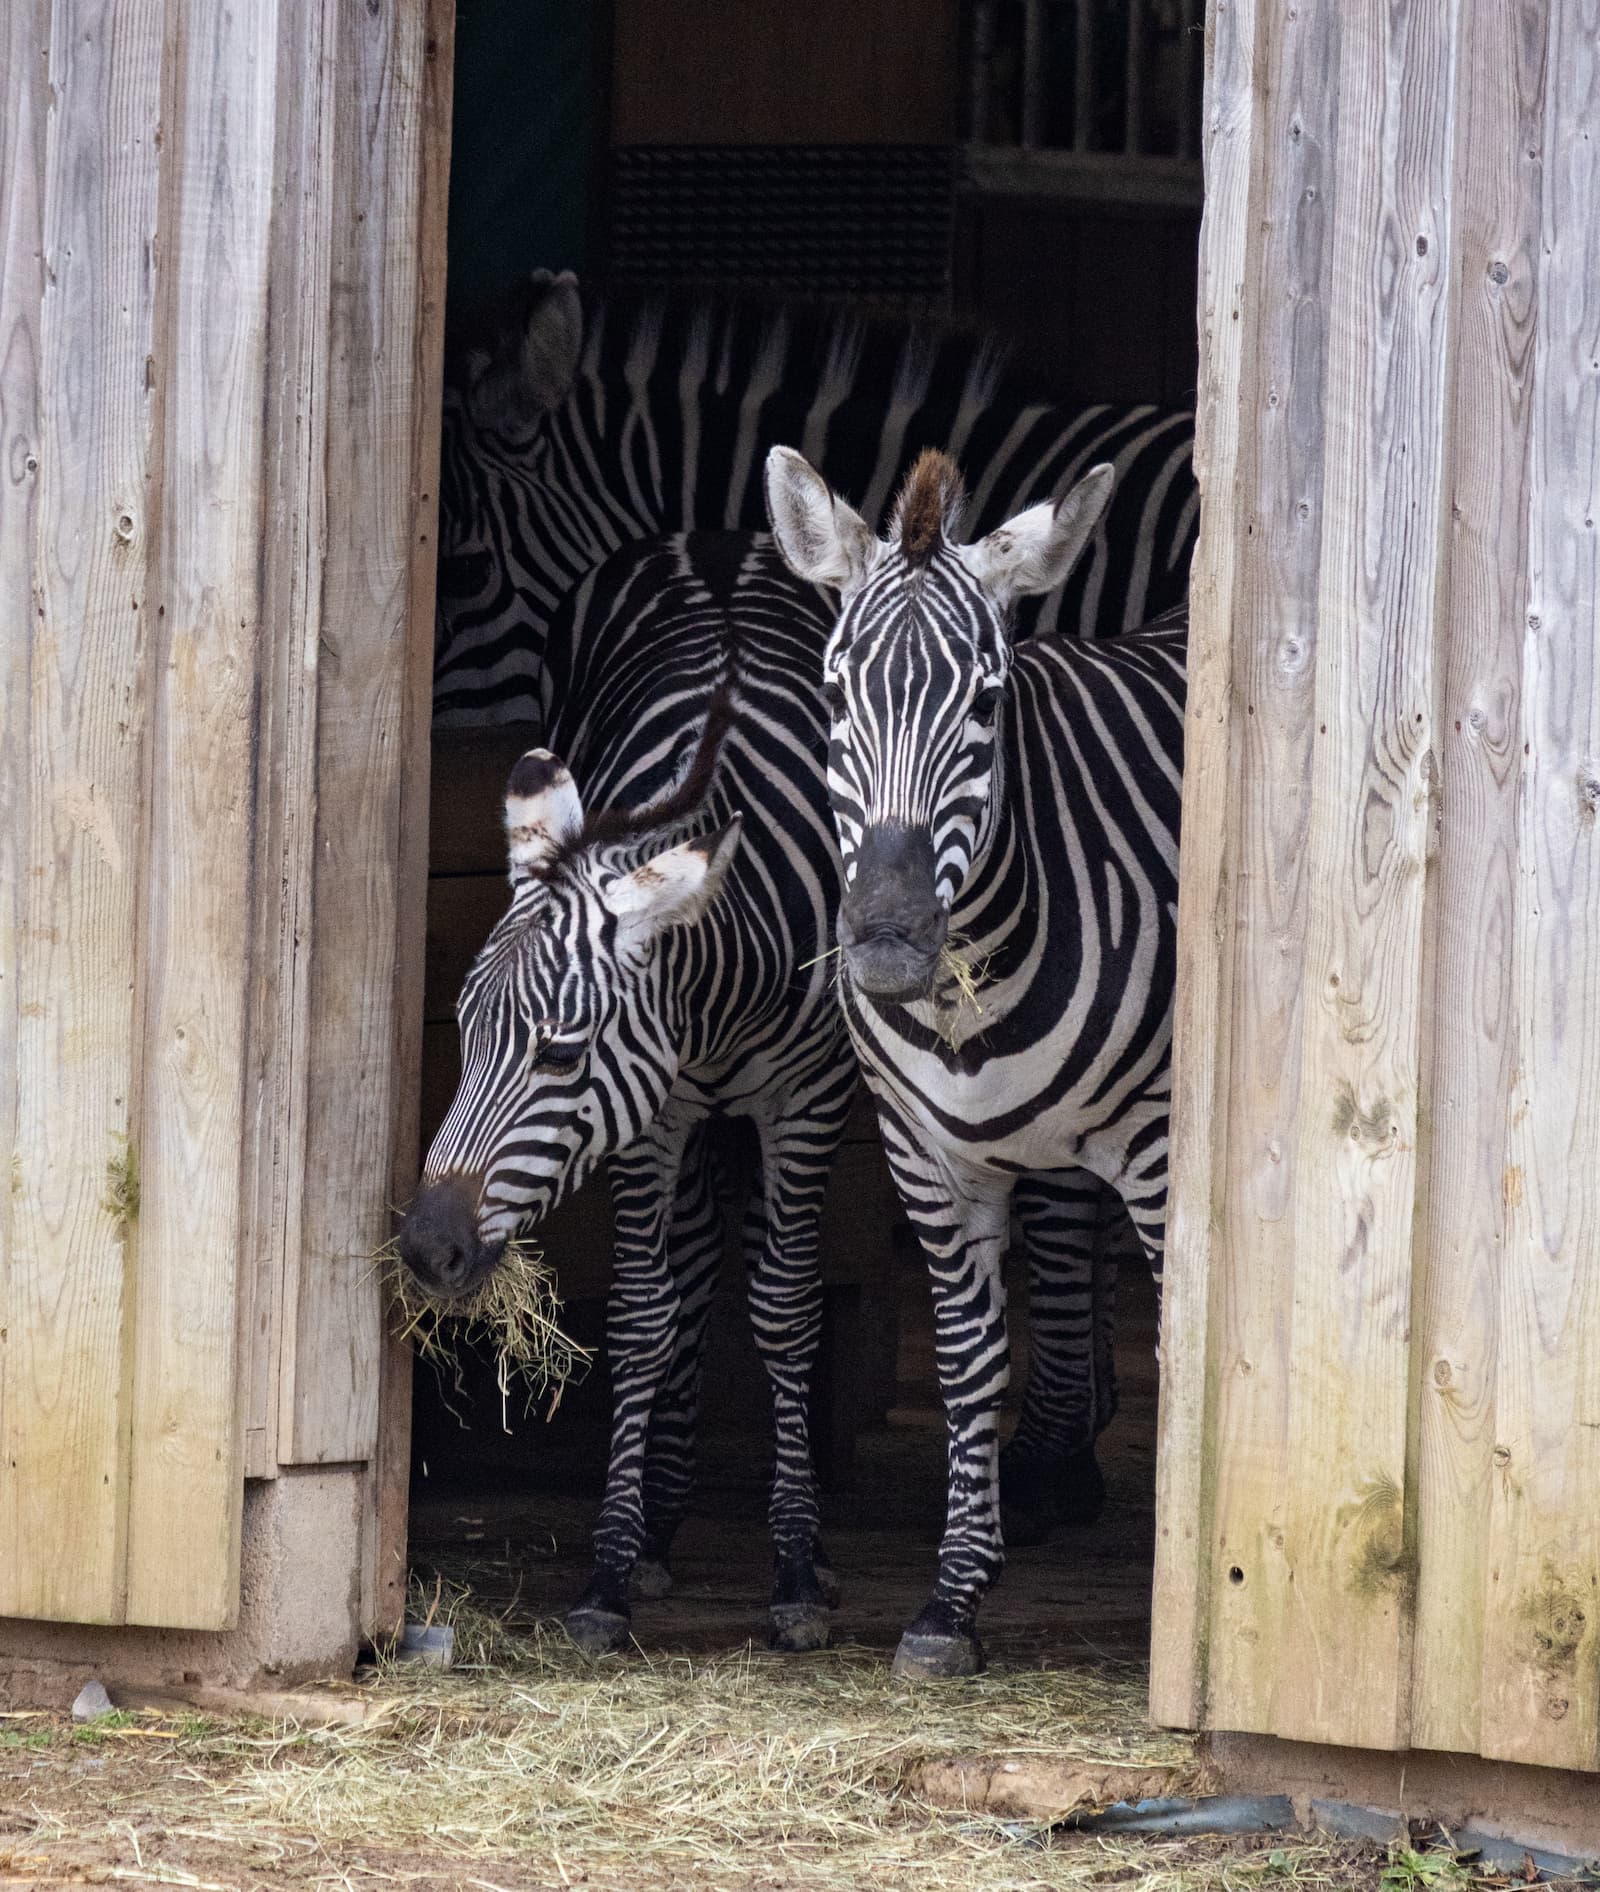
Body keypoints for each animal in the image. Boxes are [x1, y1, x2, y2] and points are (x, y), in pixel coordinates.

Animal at [398, 531, 858, 1656]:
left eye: (562, 1055)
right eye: (462, 1032)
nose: (427, 1251)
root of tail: (717, 537)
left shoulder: (809, 1099)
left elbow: (785, 1308)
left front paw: (793, 1564)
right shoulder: (652, 1113)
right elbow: (648, 1309)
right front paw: (610, 1567)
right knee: (689, 1263)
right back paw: (659, 1523)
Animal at [765, 443, 1186, 1679]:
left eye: (990, 704)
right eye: (832, 695)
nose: (888, 942)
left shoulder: (1160, 1150)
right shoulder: (925, 1159)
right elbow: (967, 1363)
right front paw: (952, 1599)